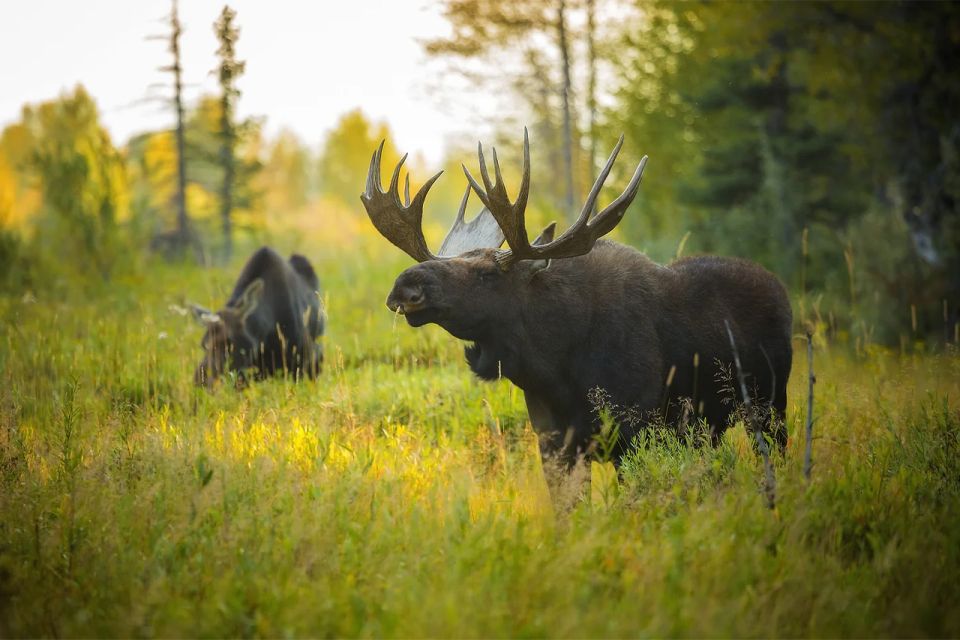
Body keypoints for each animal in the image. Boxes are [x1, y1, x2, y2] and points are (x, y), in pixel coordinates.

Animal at [364, 129, 792, 464]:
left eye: (487, 273)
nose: (405, 286)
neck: (554, 363)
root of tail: (780, 288)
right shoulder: (553, 439)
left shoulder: (635, 428)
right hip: (713, 424)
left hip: (771, 402)